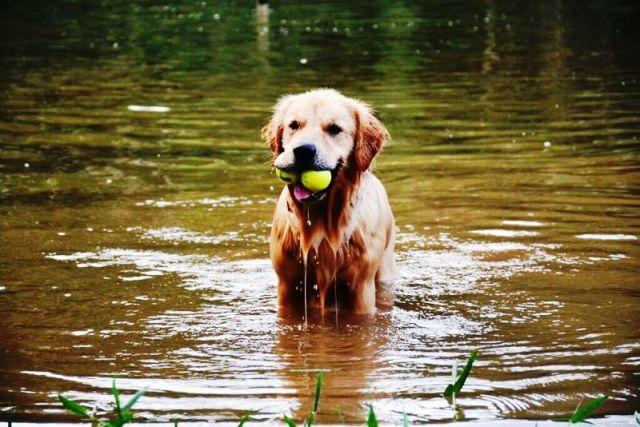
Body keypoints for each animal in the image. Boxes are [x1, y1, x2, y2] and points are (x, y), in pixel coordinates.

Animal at [262, 88, 398, 314]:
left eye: (334, 129)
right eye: (294, 125)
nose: (303, 151)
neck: (322, 223)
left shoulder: (360, 289)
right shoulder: (288, 286)